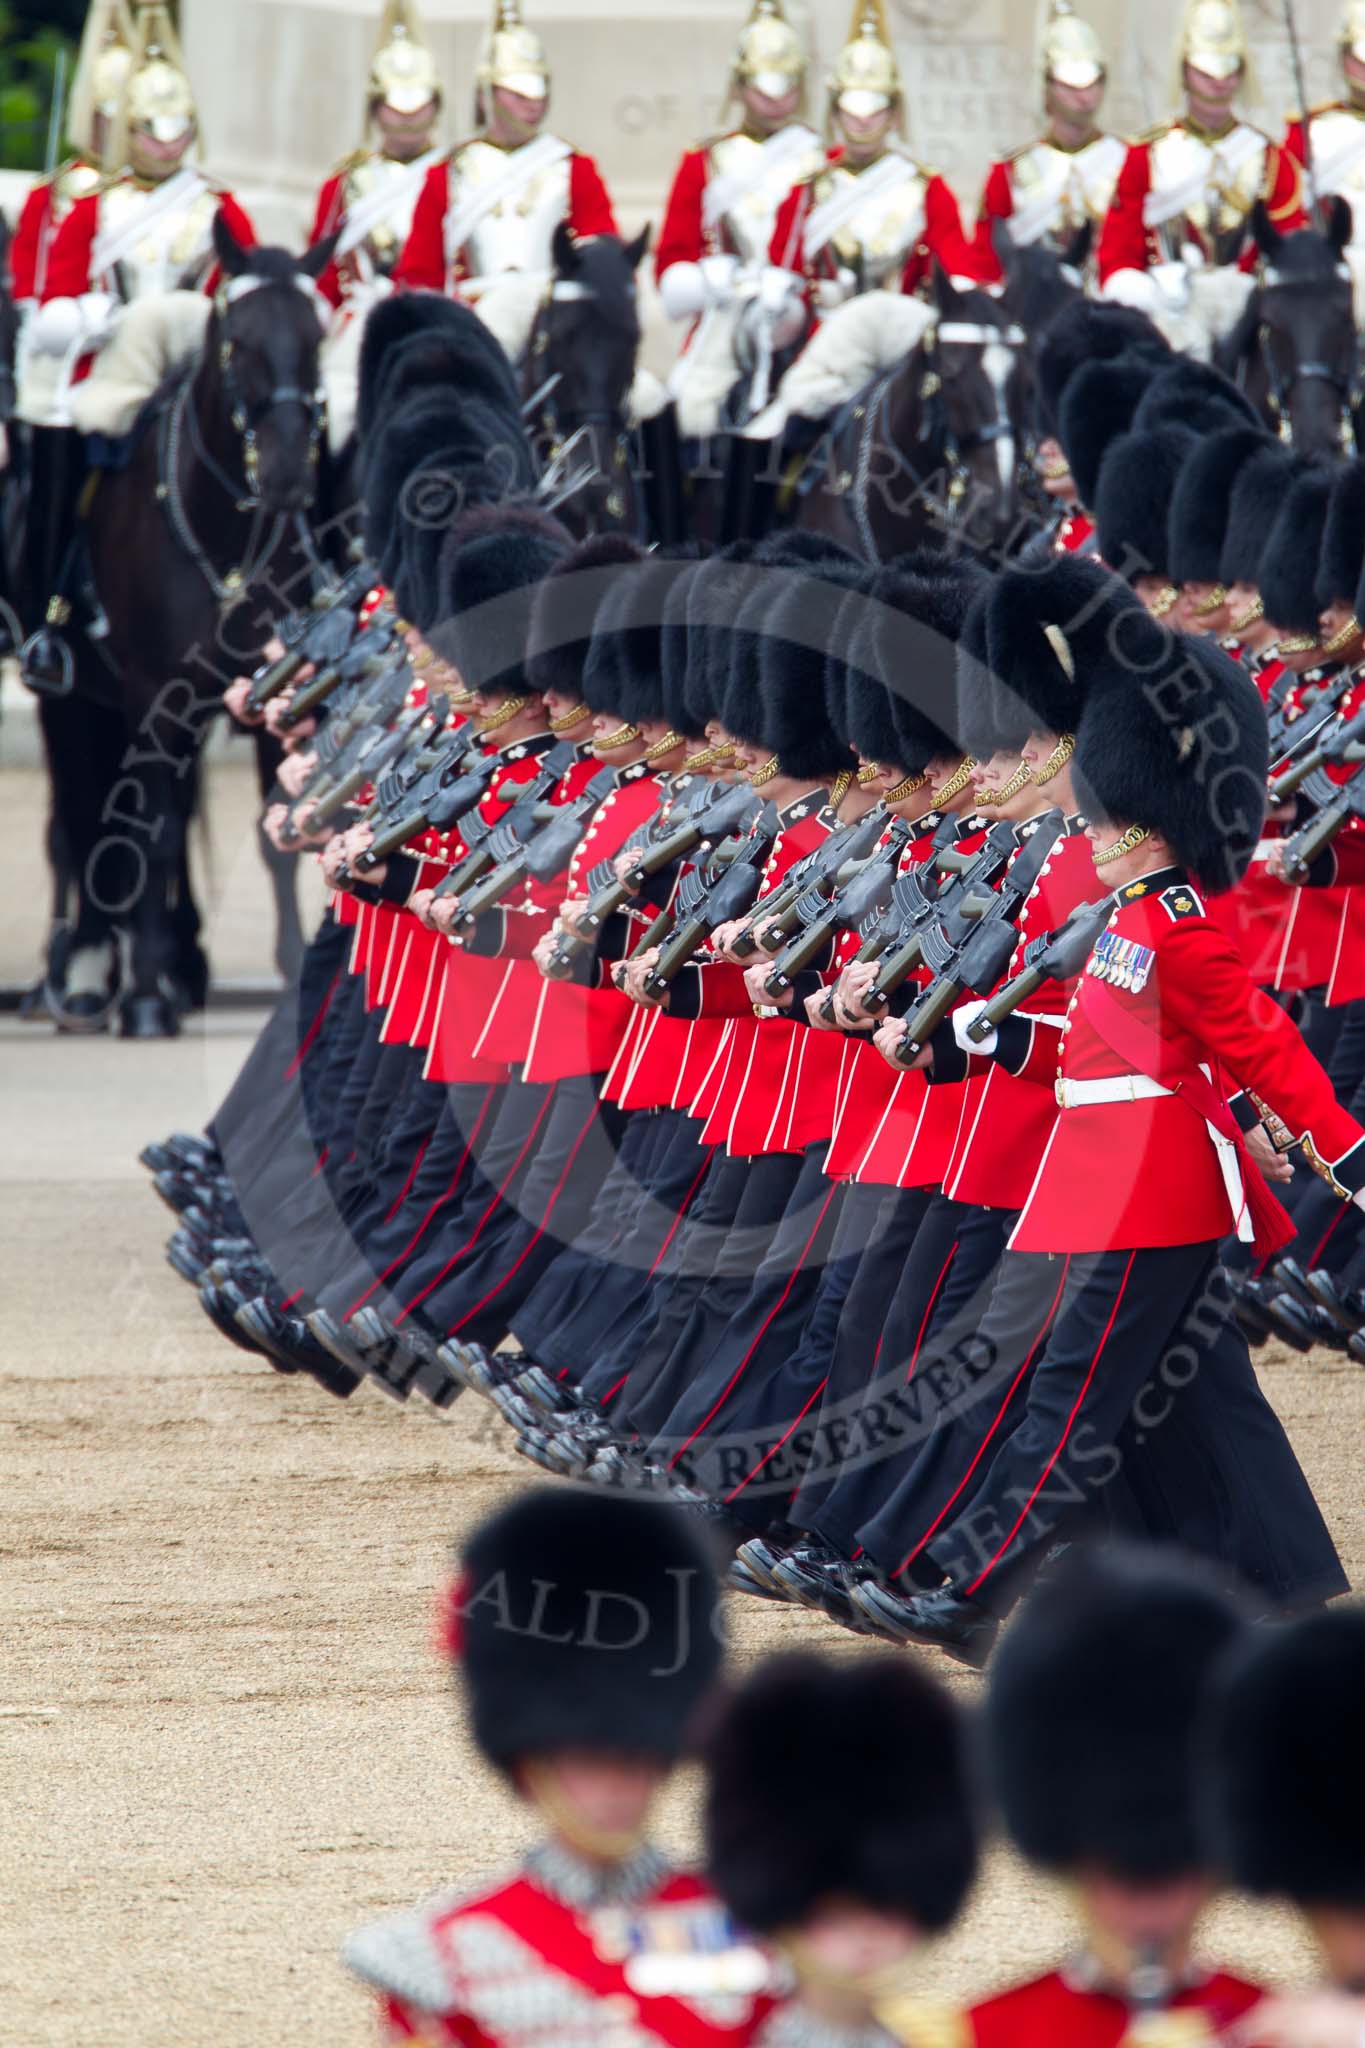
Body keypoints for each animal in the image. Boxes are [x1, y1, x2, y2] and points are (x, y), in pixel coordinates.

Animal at [55, 216, 339, 1032]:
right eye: (237, 340)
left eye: (317, 335)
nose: (287, 477)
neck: (224, 542)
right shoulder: (152, 693)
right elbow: (146, 835)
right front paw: (146, 994)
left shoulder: (277, 696)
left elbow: (278, 832)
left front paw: (288, 972)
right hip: (85, 701)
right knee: (94, 816)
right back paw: (96, 973)